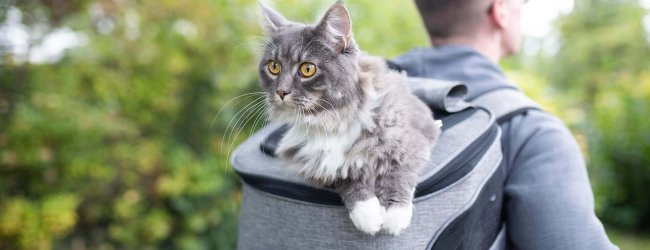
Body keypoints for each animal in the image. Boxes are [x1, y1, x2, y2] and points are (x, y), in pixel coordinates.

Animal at [256, 1, 438, 235]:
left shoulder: (413, 140)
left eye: (307, 69)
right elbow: (346, 176)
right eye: (273, 66)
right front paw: (367, 214)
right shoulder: (312, 164)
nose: (281, 92)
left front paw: (394, 215)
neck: (330, 120)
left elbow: (398, 172)